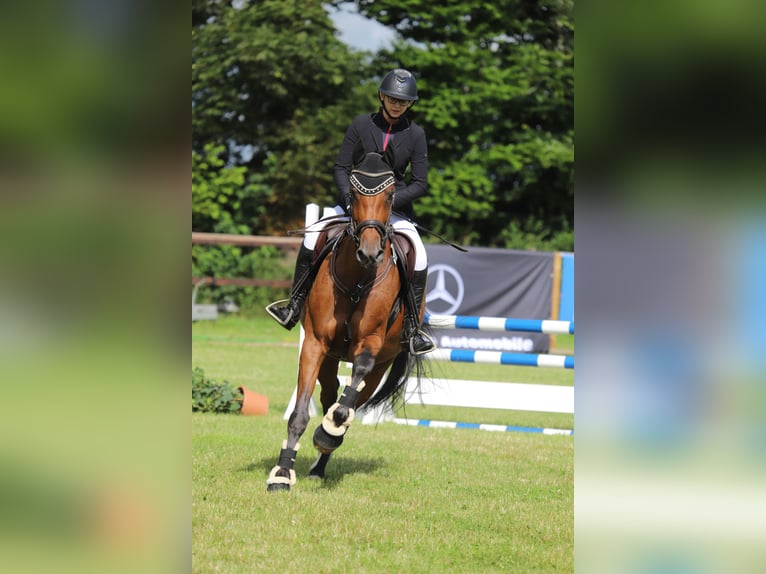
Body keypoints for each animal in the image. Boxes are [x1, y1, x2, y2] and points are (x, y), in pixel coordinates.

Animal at [266, 145, 426, 492]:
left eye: (391, 195)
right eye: (353, 193)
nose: (370, 253)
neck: (357, 279)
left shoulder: (372, 345)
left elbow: (351, 394)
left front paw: (329, 432)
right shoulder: (315, 344)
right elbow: (299, 414)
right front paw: (282, 473)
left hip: (382, 364)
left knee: (352, 401)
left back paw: (328, 441)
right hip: (330, 359)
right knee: (330, 396)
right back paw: (319, 459)